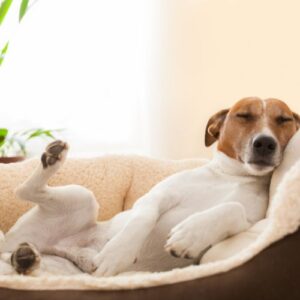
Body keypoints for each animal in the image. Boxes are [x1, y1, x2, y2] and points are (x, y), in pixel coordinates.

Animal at [0, 96, 300, 276]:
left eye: (284, 120)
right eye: (243, 116)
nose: (265, 143)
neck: (232, 176)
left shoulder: (248, 223)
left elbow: (233, 207)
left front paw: (190, 235)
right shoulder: (156, 197)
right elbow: (142, 219)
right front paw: (117, 254)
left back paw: (25, 259)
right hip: (83, 196)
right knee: (23, 190)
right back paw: (52, 159)